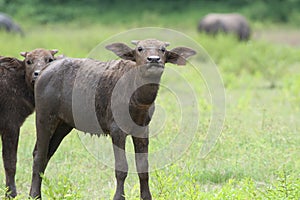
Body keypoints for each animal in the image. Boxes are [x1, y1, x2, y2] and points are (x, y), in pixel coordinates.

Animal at [0, 48, 57, 197]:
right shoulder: (11, 125)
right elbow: (10, 161)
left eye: (50, 59)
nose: (38, 74)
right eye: (28, 61)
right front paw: (11, 194)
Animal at [29, 38, 196, 199]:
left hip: (63, 125)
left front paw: (146, 196)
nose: (154, 60)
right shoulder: (117, 131)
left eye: (163, 49)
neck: (135, 96)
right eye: (139, 49)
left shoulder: (142, 131)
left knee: (47, 154)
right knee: (39, 155)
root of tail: (43, 71)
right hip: (44, 118)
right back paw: (34, 195)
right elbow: (121, 168)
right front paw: (118, 196)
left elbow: (143, 167)